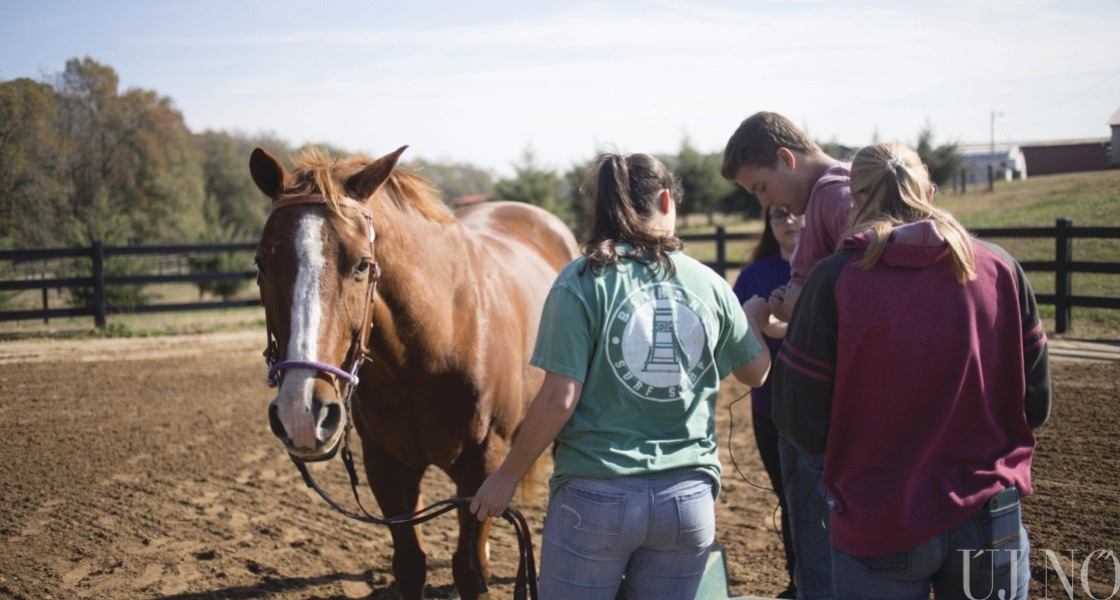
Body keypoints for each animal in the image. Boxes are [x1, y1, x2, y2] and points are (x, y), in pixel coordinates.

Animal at [252, 146, 577, 600]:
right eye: (262, 263)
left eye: (362, 265)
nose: (301, 413)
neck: (434, 342)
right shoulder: (386, 466)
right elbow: (410, 564)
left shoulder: (484, 466)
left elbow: (469, 571)